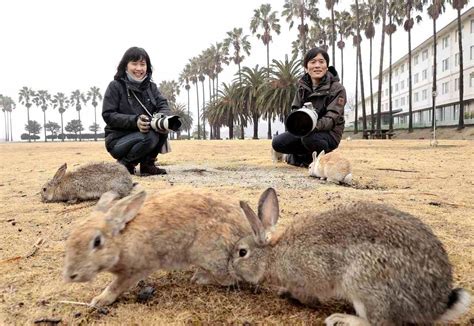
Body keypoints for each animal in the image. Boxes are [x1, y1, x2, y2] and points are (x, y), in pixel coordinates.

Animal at [65, 187, 254, 306]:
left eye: (97, 242)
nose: (70, 276)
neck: (122, 241)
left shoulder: (136, 269)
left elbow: (116, 286)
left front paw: (99, 301)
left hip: (210, 254)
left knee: (231, 279)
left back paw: (199, 278)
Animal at [229, 188, 470, 326]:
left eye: (242, 252)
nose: (230, 268)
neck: (273, 254)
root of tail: (434, 307)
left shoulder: (304, 279)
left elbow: (309, 296)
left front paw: (291, 296)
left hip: (365, 285)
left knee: (380, 322)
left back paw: (341, 319)